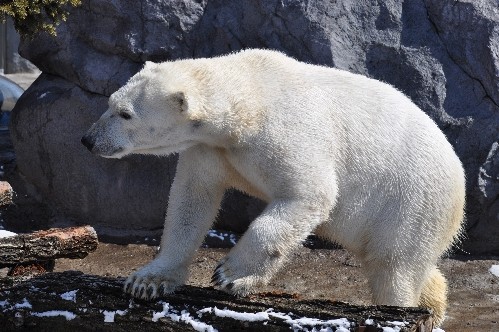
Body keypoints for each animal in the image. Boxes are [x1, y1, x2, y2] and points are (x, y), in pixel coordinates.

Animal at [81, 50, 464, 326]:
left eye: (125, 114)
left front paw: (231, 275)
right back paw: (433, 307)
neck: (250, 98)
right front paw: (147, 280)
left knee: (394, 268)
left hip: (411, 202)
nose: (88, 140)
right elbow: (191, 200)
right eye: (110, 102)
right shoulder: (212, 148)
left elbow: (309, 194)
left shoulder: (286, 131)